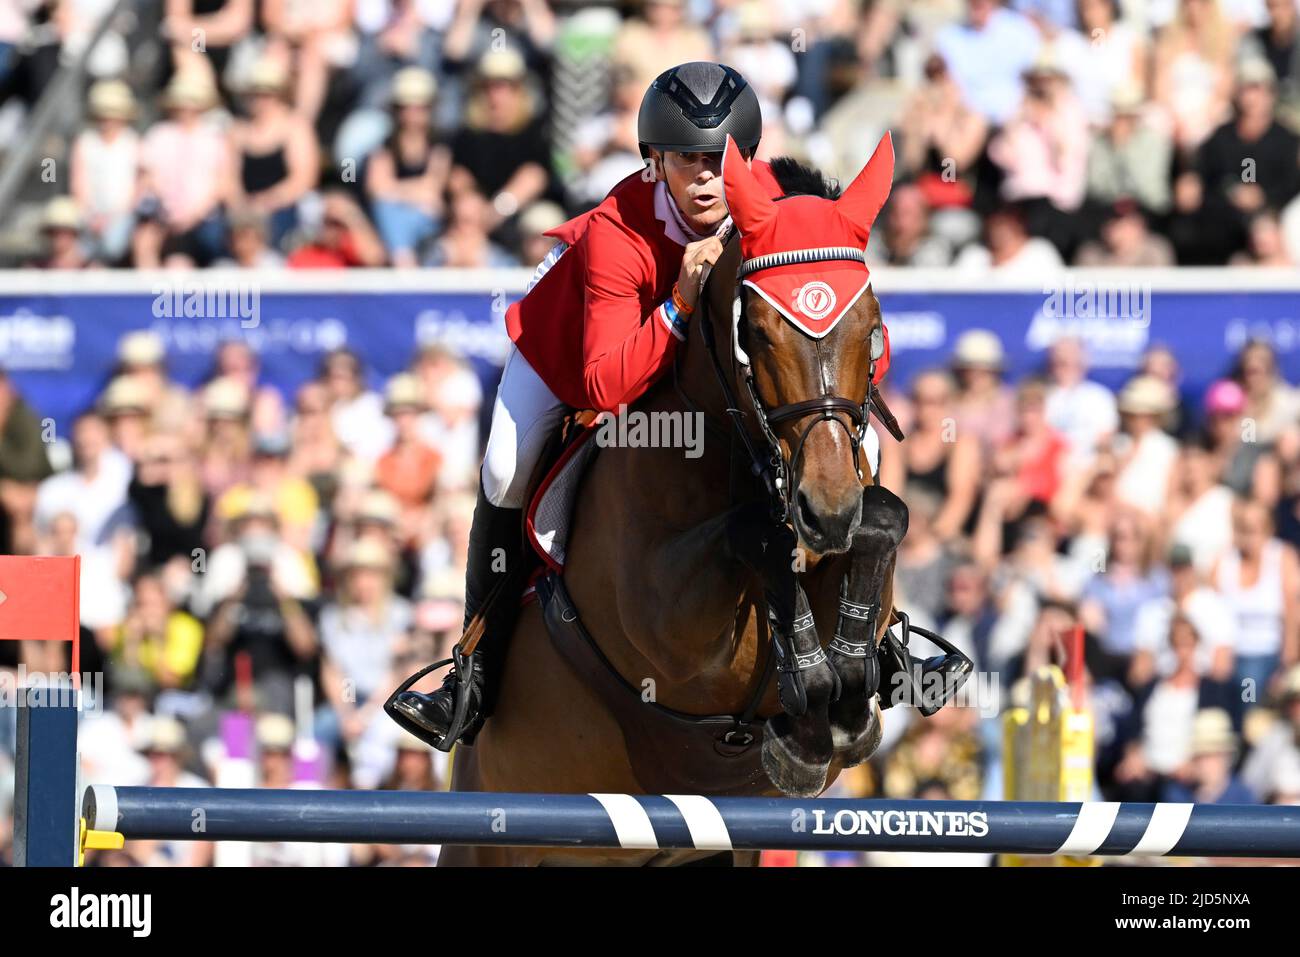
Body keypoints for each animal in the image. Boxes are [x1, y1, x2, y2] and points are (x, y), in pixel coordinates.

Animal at [434, 136, 904, 868]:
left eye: (872, 326)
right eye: (756, 331)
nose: (825, 511)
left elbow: (884, 519)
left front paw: (843, 706)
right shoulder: (671, 632)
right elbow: (755, 536)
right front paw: (807, 714)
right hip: (484, 838)